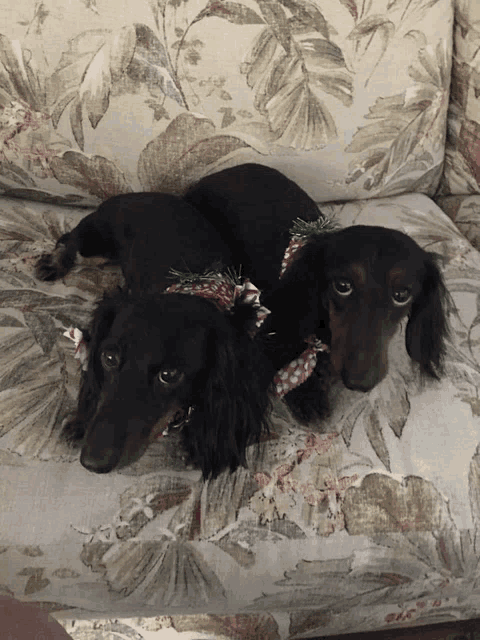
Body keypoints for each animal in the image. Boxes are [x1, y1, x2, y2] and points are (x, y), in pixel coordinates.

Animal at [35, 192, 272, 478]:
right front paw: (80, 421)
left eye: (169, 375)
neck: (193, 285)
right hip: (96, 245)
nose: (92, 463)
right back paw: (54, 263)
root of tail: (138, 194)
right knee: (70, 240)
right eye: (109, 358)